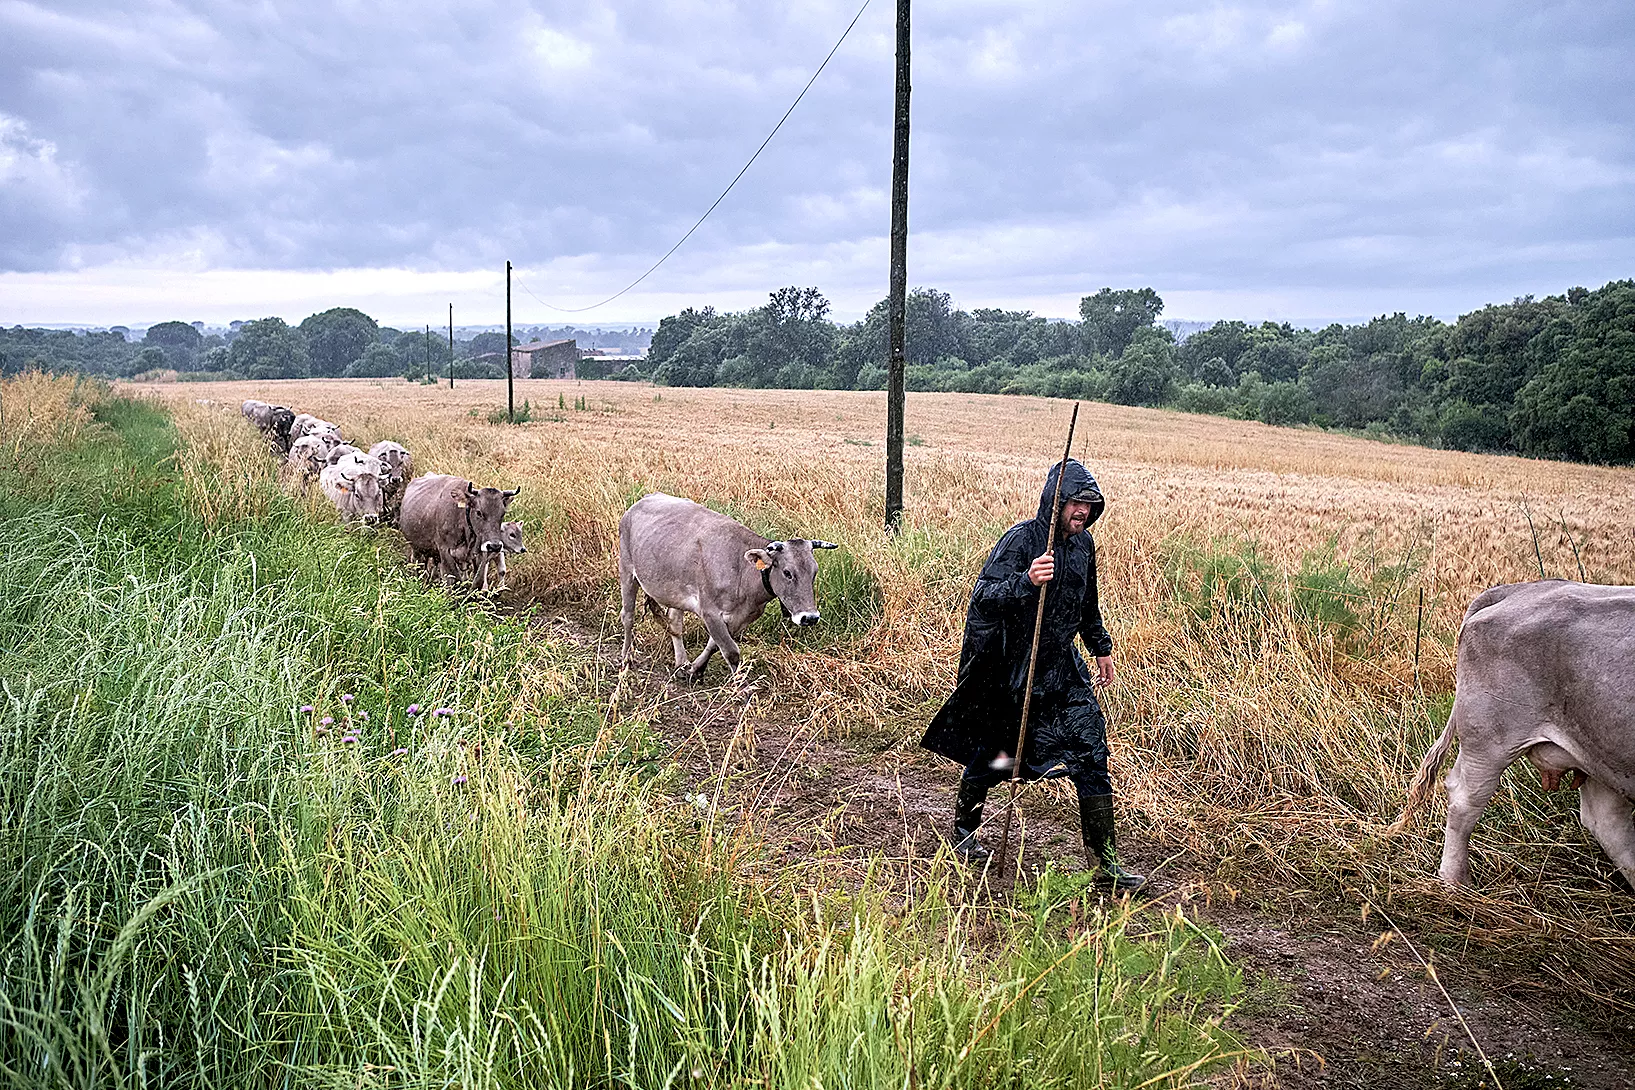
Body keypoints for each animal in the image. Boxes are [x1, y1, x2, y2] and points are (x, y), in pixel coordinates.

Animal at [618, 493, 837, 683]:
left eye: (814, 572)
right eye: (787, 572)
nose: (810, 617)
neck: (741, 570)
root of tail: (645, 498)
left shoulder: (740, 618)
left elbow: (715, 646)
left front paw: (695, 669)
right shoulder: (710, 612)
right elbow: (731, 651)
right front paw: (742, 688)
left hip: (674, 590)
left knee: (674, 622)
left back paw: (681, 663)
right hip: (627, 571)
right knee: (628, 616)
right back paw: (626, 658)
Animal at [1393, 585, 1635, 888]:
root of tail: (1519, 589)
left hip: (1600, 755)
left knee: (1608, 824)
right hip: (1489, 741)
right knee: (1464, 800)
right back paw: (1457, 882)